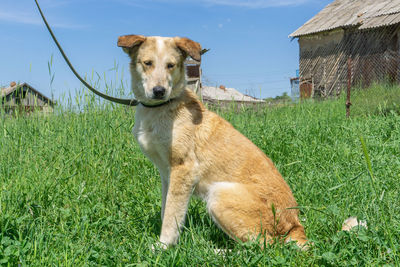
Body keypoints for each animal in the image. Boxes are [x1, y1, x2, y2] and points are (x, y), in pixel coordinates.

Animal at [117, 34, 308, 250]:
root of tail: (295, 225)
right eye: (147, 63)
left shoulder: (184, 169)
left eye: (170, 65)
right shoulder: (167, 174)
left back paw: (215, 251)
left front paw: (163, 246)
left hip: (219, 194)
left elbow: (172, 216)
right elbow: (167, 209)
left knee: (262, 246)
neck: (159, 109)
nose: (159, 91)